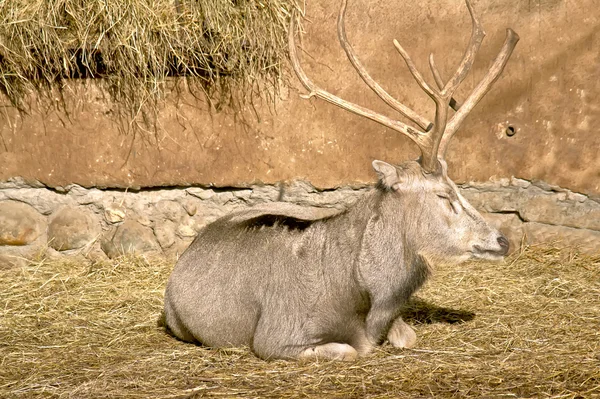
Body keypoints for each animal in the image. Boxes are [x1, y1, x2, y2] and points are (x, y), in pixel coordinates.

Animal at [162, 0, 516, 362]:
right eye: (444, 195)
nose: (502, 240)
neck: (360, 297)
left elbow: (408, 337)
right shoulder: (277, 336)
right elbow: (350, 350)